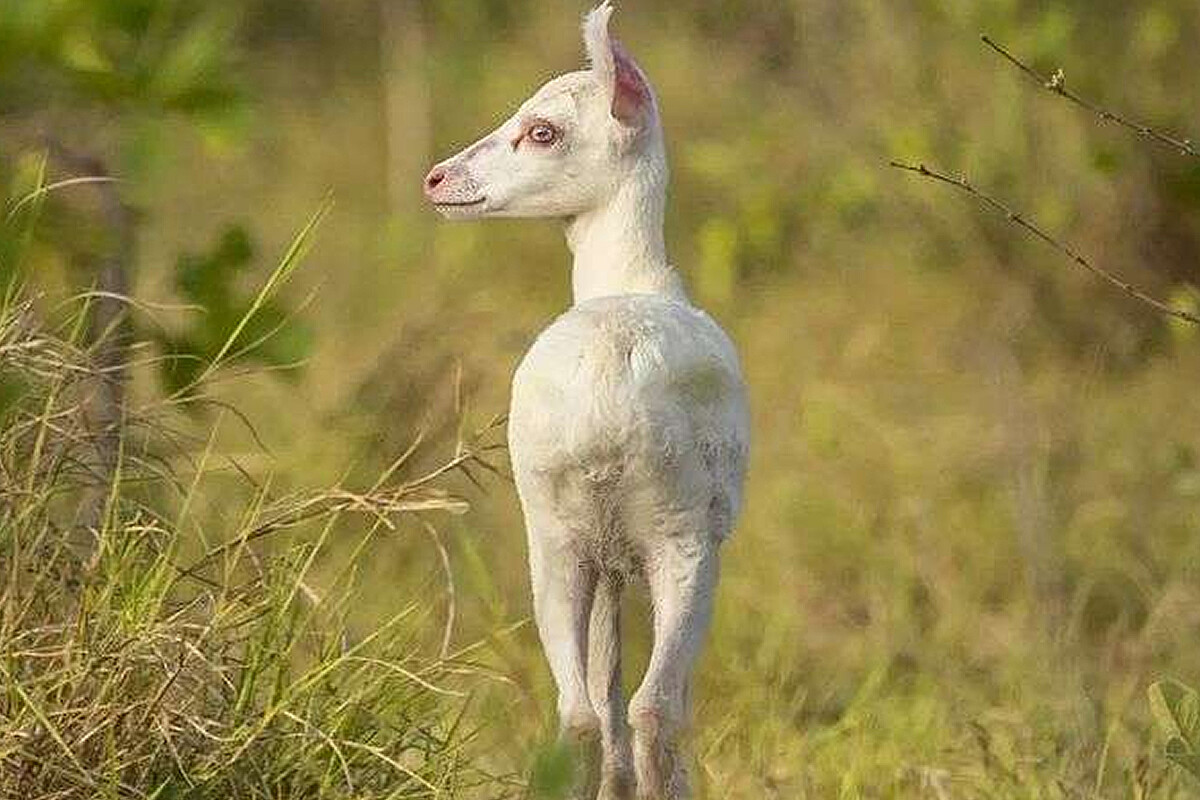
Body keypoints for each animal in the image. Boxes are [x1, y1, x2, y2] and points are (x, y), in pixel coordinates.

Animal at [422, 3, 739, 796]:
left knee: (587, 714)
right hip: (679, 530)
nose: (436, 179)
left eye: (543, 130)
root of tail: (607, 394)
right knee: (653, 706)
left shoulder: (600, 549)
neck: (629, 275)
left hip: (559, 529)